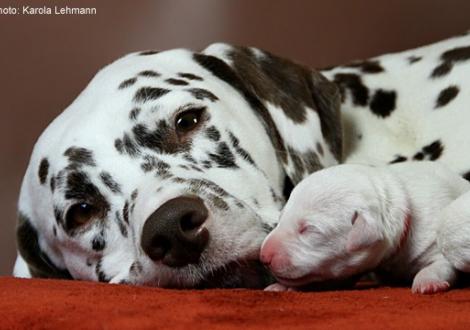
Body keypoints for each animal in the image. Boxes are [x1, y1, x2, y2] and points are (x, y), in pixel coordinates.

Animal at [260, 161, 470, 292]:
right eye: (281, 218)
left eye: (309, 229)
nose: (263, 257)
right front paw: (285, 287)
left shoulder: (433, 244)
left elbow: (440, 265)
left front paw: (427, 282)